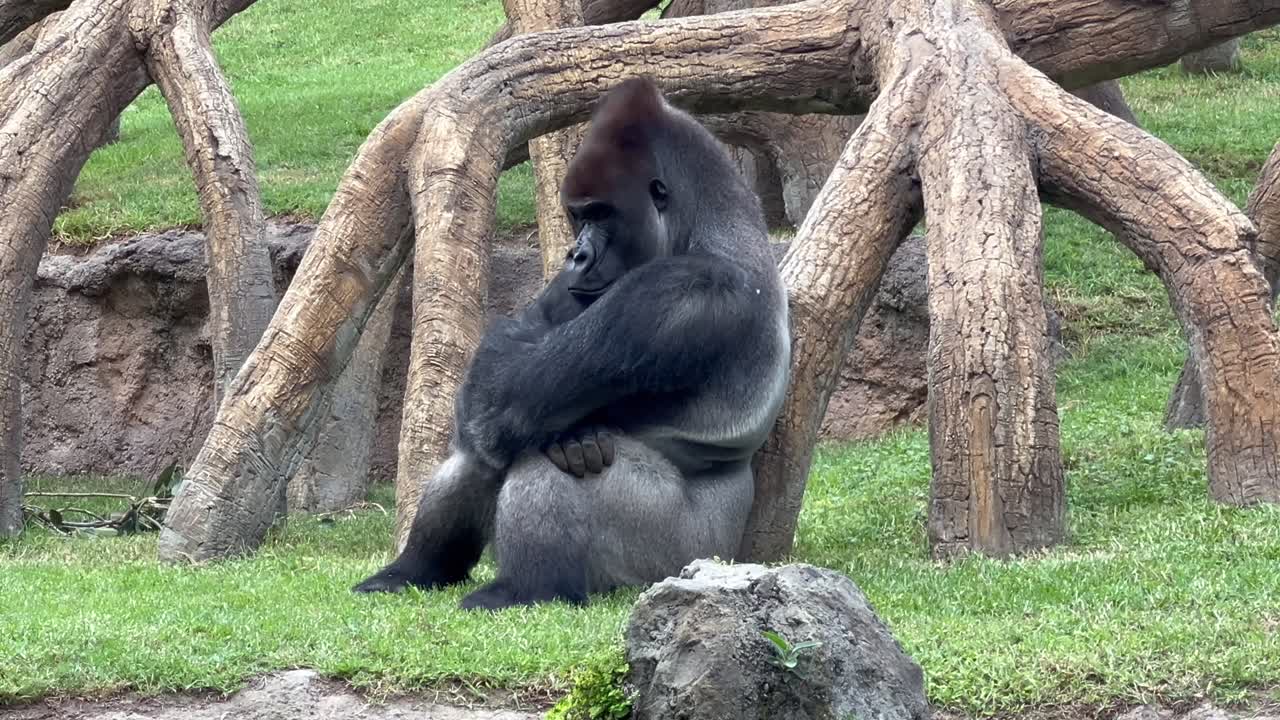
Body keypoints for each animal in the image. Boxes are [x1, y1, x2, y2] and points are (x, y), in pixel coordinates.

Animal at [353, 77, 791, 611]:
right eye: (577, 216)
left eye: (601, 214)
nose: (576, 255)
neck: (711, 222)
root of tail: (730, 550)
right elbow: (505, 359)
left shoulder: (686, 291)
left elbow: (506, 399)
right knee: (481, 443)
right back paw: (414, 570)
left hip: (678, 556)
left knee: (540, 458)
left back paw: (523, 588)